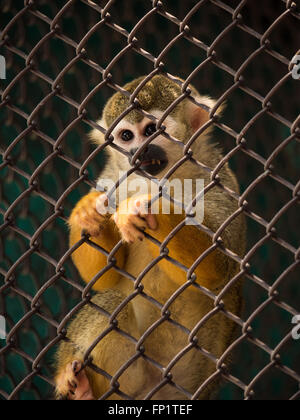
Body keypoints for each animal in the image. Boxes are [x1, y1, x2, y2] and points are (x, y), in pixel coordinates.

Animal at [54, 74, 246, 400]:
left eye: (151, 130)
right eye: (126, 136)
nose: (139, 152)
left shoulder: (218, 182)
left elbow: (218, 268)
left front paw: (147, 206)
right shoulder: (111, 180)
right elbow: (104, 276)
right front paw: (86, 213)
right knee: (111, 302)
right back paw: (81, 385)